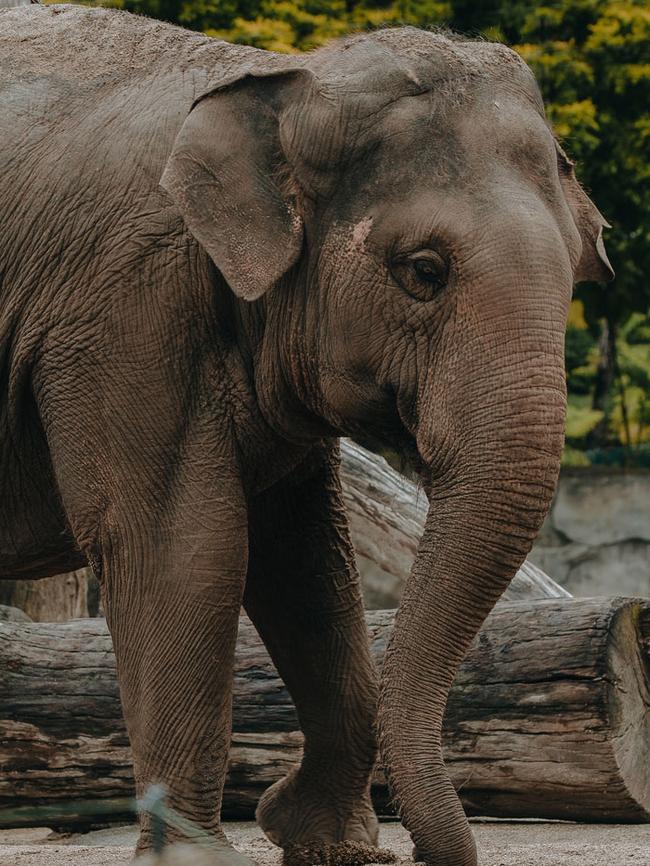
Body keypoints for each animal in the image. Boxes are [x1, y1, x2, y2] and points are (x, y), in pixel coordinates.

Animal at [0, 6, 612, 864]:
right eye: (423, 271)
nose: (417, 851)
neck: (282, 82)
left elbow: (308, 561)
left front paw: (324, 842)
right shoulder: (124, 308)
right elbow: (187, 547)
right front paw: (201, 858)